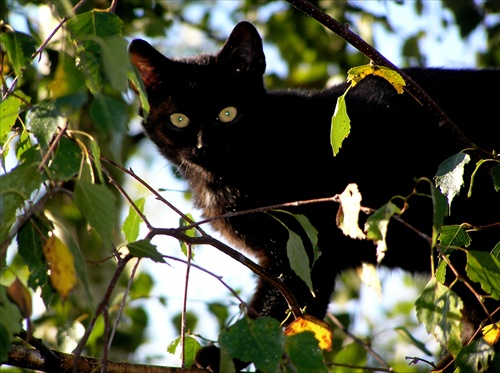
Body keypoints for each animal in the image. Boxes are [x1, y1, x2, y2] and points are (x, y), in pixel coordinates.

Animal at [130, 21, 500, 370]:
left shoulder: (301, 249)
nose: (204, 146)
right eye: (179, 119)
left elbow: (271, 313)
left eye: (228, 113)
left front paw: (222, 355)